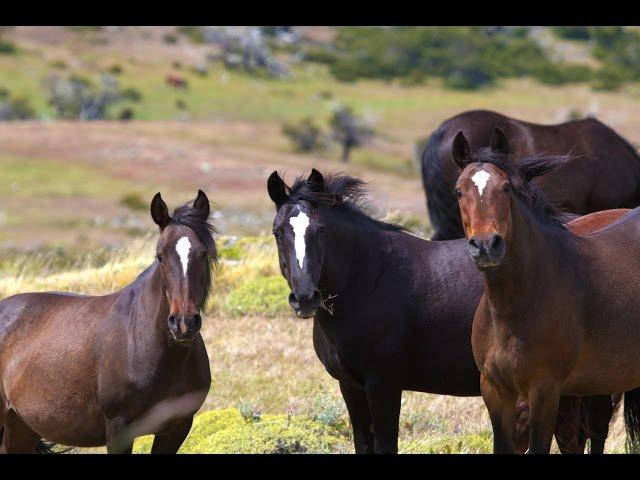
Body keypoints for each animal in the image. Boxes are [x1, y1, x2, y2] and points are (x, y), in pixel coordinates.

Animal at [0, 189, 216, 452]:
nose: (184, 323)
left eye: (203, 254)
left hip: (22, 427)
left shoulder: (177, 428)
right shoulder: (118, 428)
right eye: (160, 256)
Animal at [268, 169, 628, 454]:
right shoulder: (351, 386)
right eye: (278, 232)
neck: (371, 277)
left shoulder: (383, 384)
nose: (305, 298)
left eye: (320, 231)